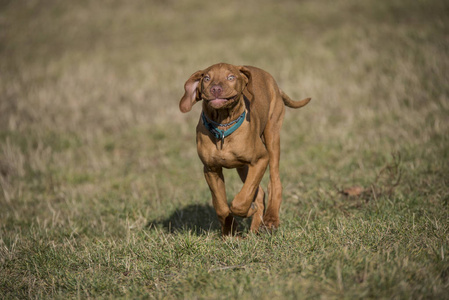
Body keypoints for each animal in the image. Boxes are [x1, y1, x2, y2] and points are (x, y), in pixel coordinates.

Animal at [178, 63, 308, 236]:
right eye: (206, 78)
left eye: (230, 77)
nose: (215, 89)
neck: (223, 126)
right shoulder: (211, 169)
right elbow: (221, 205)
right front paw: (230, 232)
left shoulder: (261, 159)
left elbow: (241, 200)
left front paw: (247, 211)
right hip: (243, 167)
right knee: (259, 192)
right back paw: (254, 229)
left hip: (272, 136)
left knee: (274, 182)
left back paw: (270, 219)